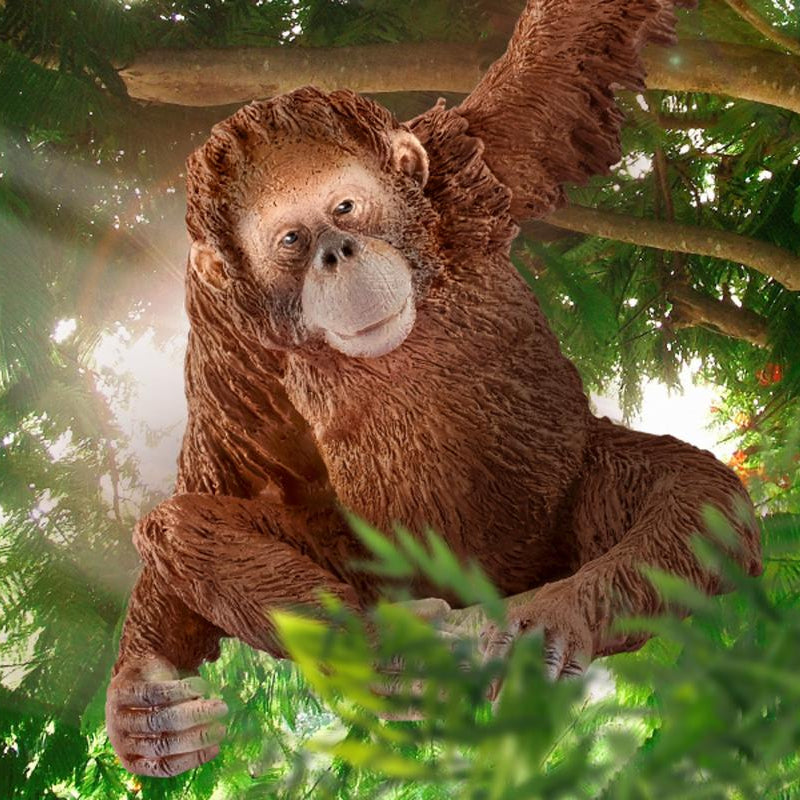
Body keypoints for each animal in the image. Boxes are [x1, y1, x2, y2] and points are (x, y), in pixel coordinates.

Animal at [105, 0, 762, 778]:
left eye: (346, 208)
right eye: (292, 240)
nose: (338, 252)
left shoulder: (477, 159)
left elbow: (572, 43)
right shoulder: (220, 329)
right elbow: (228, 473)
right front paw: (141, 696)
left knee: (697, 498)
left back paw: (555, 617)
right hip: (381, 569)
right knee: (175, 525)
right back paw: (381, 651)